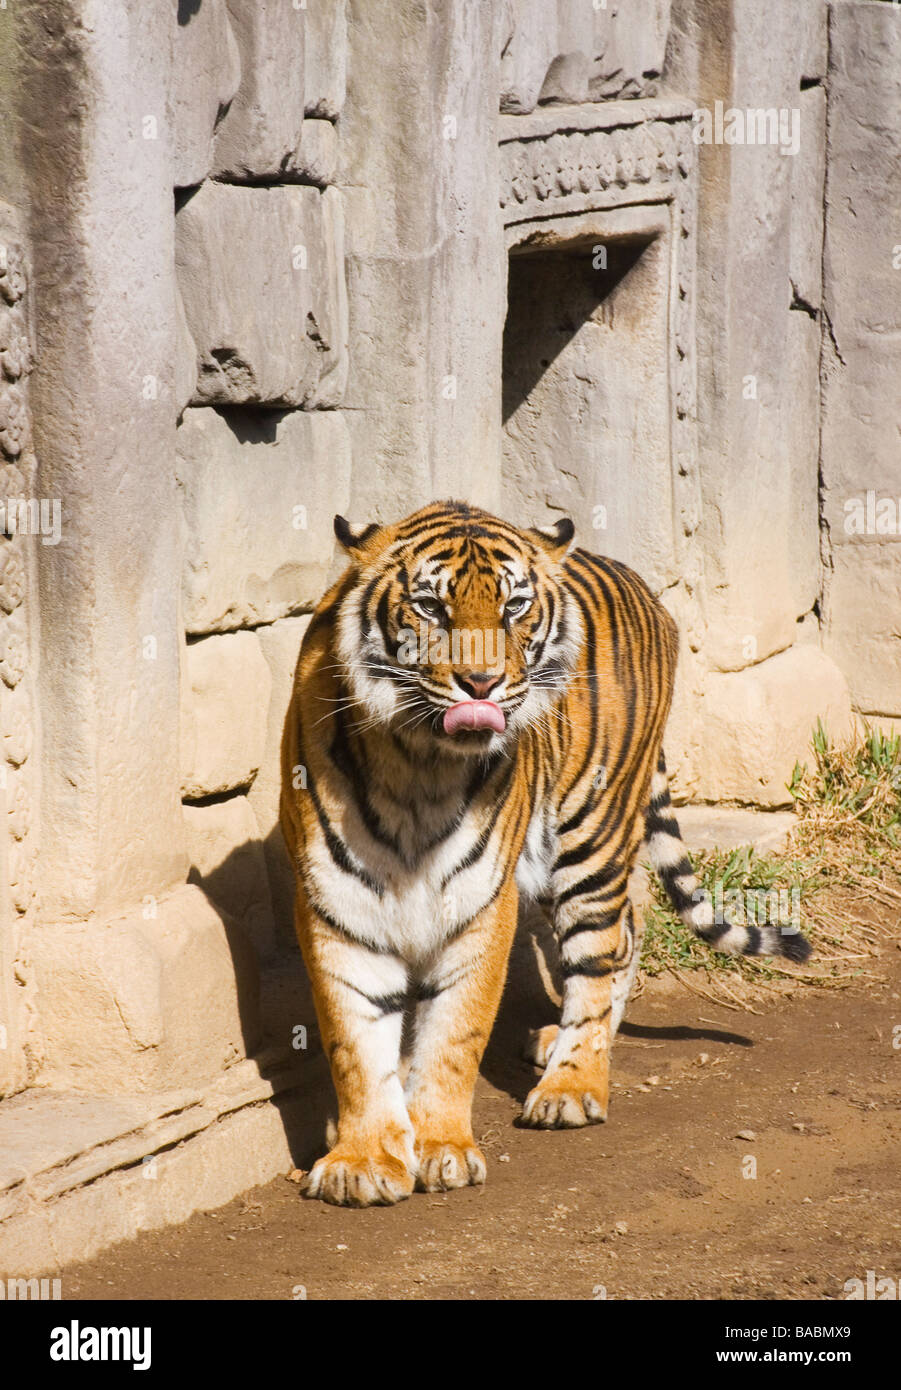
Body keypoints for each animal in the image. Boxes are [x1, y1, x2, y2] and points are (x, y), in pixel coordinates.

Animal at [279, 500, 812, 1206]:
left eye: (513, 607)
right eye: (430, 607)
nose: (481, 683)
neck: (419, 766)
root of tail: (638, 582)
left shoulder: (481, 903)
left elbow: (456, 1034)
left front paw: (443, 1148)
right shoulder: (337, 903)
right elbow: (355, 1043)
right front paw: (361, 1161)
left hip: (592, 835)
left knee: (602, 947)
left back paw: (572, 1084)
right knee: (629, 930)